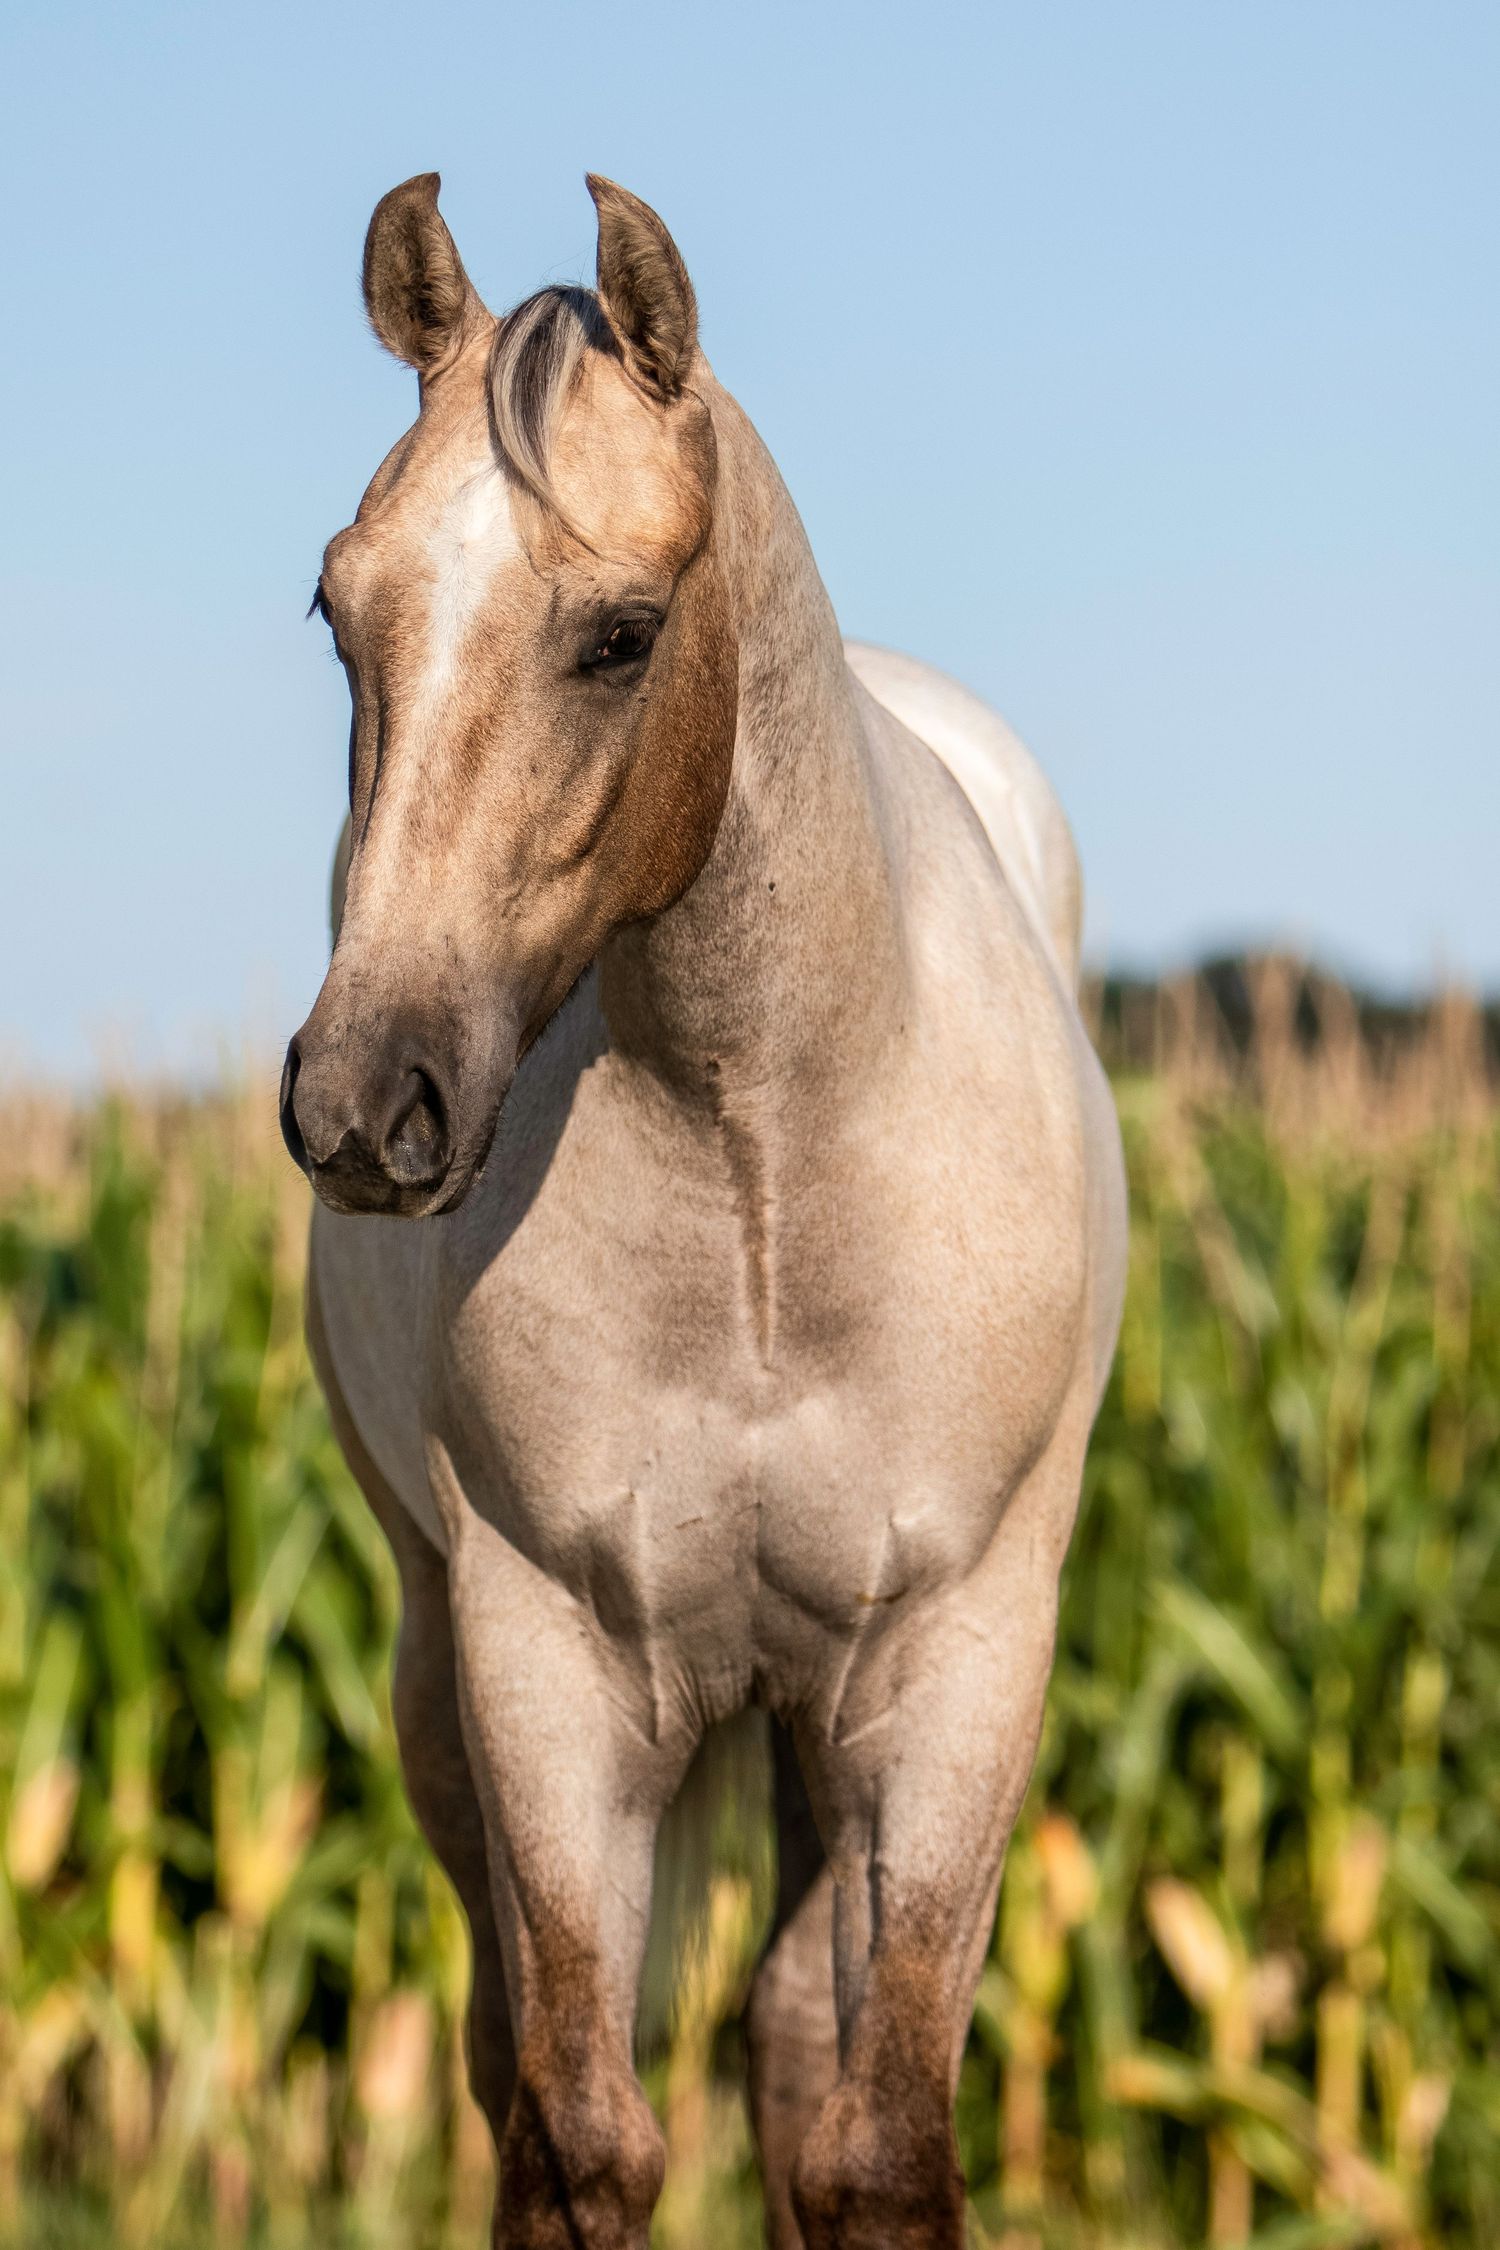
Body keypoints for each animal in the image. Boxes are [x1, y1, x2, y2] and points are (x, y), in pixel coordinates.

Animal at [280, 171, 1127, 2250]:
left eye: (619, 634)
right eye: (340, 613)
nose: (361, 1103)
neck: (762, 1173)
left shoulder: (956, 1667)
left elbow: (880, 2147)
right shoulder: (548, 1669)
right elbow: (578, 2138)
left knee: (797, 2052)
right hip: (445, 1676)